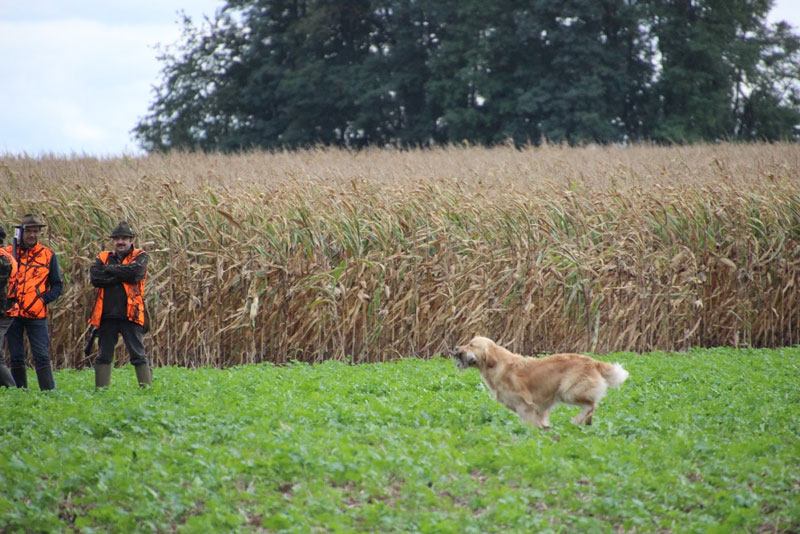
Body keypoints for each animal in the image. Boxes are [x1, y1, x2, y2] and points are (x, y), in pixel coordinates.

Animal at [454, 340, 628, 432]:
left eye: (471, 344)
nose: (456, 348)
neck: (496, 364)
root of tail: (594, 362)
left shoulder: (525, 406)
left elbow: (529, 423)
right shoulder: (541, 407)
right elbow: (542, 421)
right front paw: (545, 430)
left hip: (568, 391)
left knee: (591, 404)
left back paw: (576, 420)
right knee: (592, 406)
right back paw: (586, 423)